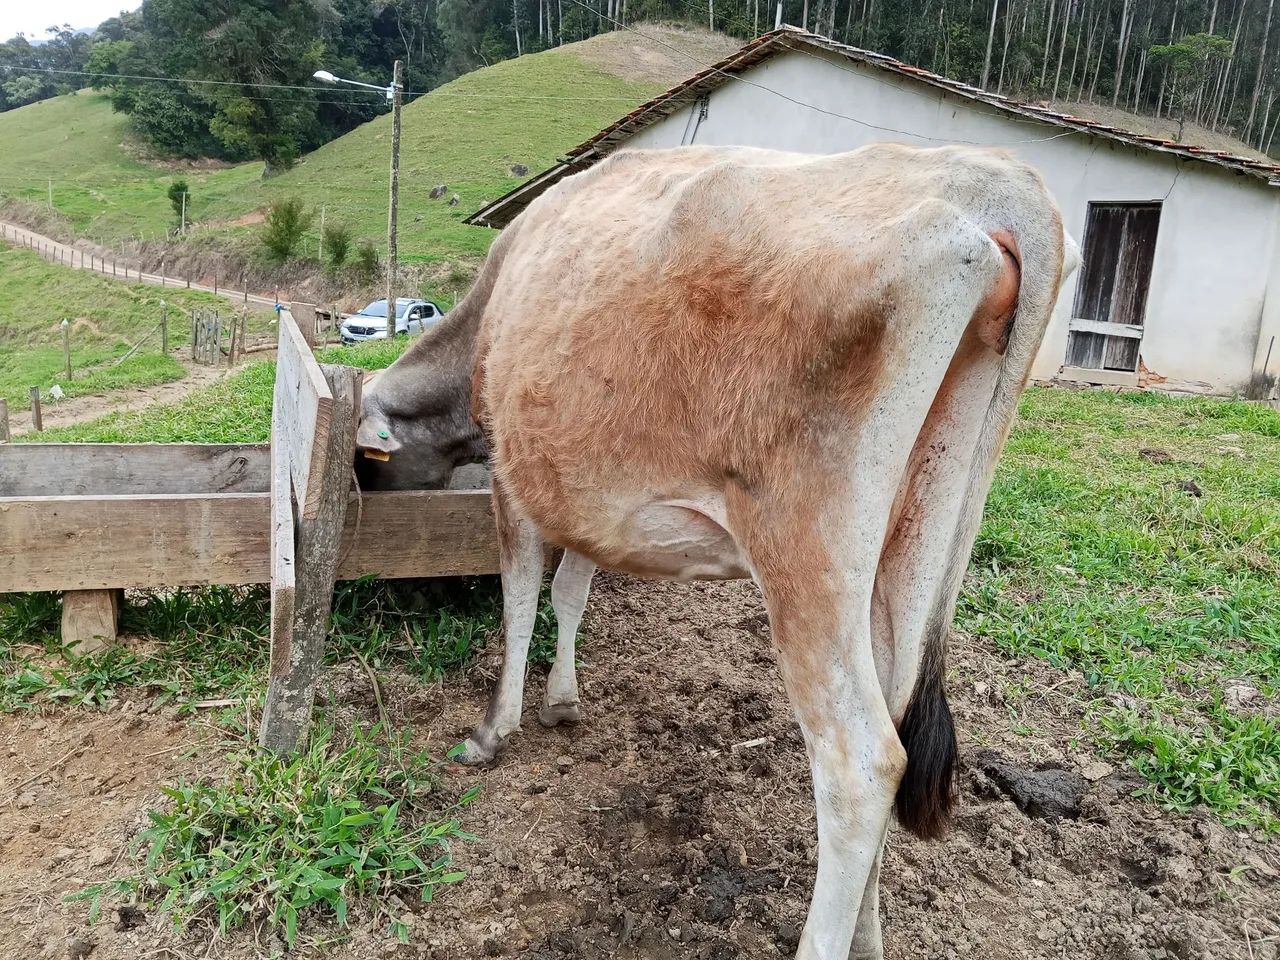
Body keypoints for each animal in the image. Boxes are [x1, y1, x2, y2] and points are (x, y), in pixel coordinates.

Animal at [357, 143, 1079, 960]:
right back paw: (868, 936)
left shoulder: (516, 479)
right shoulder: (589, 497)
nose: (401, 590)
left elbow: (520, 598)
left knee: (862, 762)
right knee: (900, 723)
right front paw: (562, 702)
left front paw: (495, 728)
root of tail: (996, 178)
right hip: (920, 536)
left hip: (804, 550)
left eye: (365, 467)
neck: (489, 312)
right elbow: (571, 590)